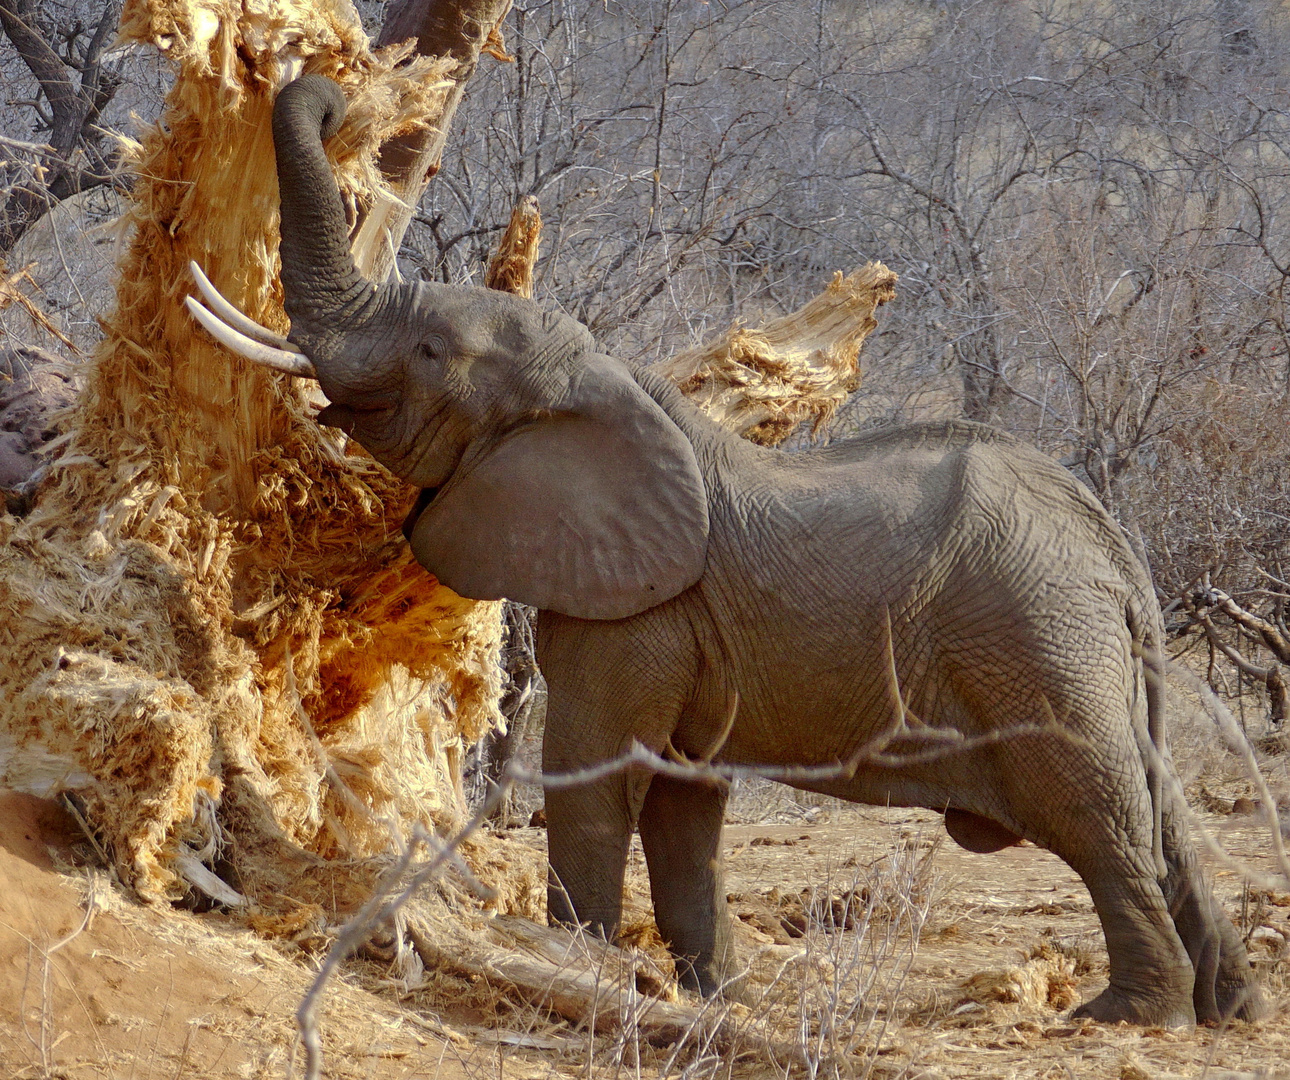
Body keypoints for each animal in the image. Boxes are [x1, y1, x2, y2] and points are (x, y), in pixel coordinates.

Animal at [190, 71, 1259, 1021]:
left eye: (427, 353)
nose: (339, 96)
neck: (608, 379)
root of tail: (1117, 549)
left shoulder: (638, 611)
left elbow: (596, 778)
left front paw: (581, 973)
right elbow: (683, 797)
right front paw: (711, 999)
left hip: (1035, 641)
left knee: (1094, 816)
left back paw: (1129, 1016)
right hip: (1084, 646)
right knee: (1158, 807)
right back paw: (1228, 1009)